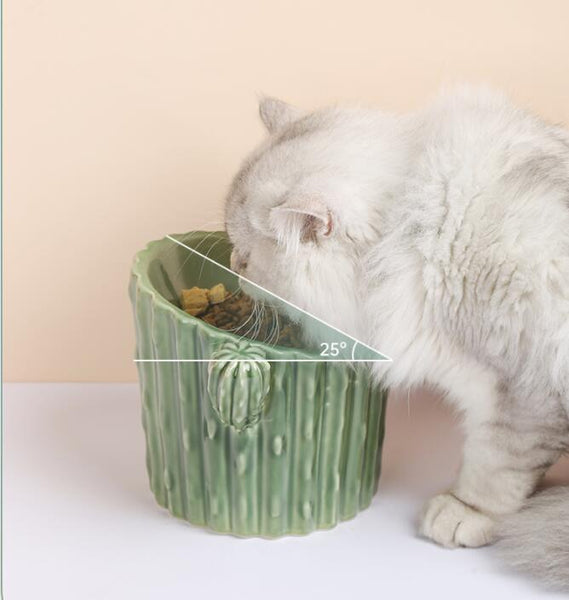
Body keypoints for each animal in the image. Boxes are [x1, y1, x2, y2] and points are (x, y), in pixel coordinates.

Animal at [222, 85, 568, 592]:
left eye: (245, 260)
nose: (231, 266)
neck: (415, 230)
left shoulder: (522, 388)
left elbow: (495, 468)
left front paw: (465, 513)